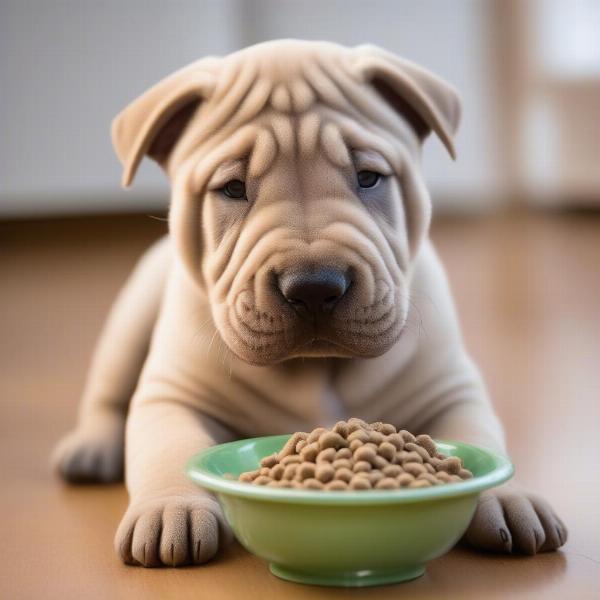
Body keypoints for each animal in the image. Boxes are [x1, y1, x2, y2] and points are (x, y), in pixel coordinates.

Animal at [52, 39, 568, 564]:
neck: (316, 368)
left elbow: (479, 436)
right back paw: (90, 449)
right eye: (232, 188)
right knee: (107, 393)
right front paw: (170, 508)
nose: (315, 286)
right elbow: (169, 450)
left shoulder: (451, 389)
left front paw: (507, 496)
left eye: (369, 177)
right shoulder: (173, 394)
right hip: (130, 318)